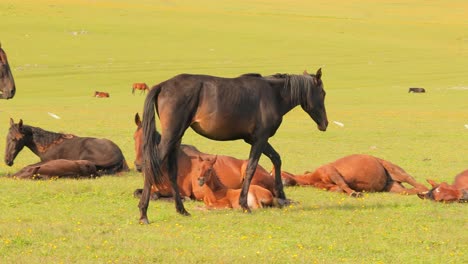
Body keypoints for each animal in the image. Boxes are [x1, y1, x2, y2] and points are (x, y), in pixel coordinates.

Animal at [132, 112, 276, 200]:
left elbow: (157, 195)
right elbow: (138, 192)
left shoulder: (182, 190)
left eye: (150, 139)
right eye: (134, 137)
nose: (139, 165)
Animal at [278, 155, 428, 196]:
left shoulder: (331, 171)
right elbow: (339, 188)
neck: (312, 178)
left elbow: (343, 184)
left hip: (394, 170)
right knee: (409, 190)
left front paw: (354, 193)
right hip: (392, 186)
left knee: (415, 182)